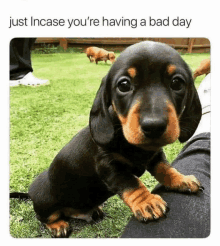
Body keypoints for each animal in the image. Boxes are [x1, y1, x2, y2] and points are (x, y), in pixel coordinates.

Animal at [28, 41, 203, 237]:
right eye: (124, 85)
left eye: (177, 82)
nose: (154, 125)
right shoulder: (109, 166)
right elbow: (131, 183)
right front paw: (147, 202)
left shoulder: (155, 155)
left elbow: (165, 168)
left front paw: (181, 179)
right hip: (46, 202)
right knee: (45, 217)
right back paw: (58, 225)